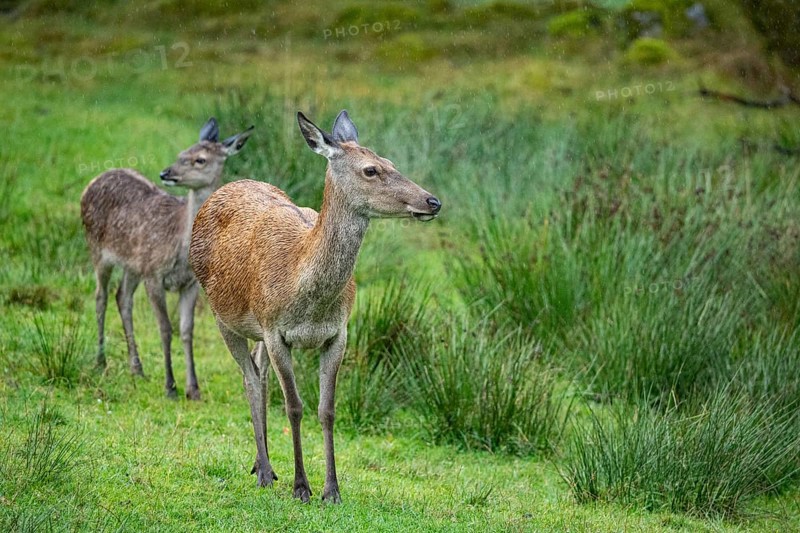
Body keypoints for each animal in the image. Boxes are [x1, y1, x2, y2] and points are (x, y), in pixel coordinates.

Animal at [81, 118, 254, 400]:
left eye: (200, 159)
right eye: (181, 153)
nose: (166, 174)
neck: (179, 251)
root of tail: (92, 182)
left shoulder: (190, 284)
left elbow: (186, 330)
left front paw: (193, 389)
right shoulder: (154, 274)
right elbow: (165, 328)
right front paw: (170, 386)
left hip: (133, 264)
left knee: (122, 298)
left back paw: (137, 368)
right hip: (97, 248)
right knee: (100, 297)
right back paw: (100, 360)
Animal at [189, 110, 441, 503]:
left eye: (390, 162)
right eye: (371, 170)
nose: (432, 202)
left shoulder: (338, 334)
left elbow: (327, 410)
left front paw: (332, 490)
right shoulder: (275, 330)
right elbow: (294, 407)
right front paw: (301, 487)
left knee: (260, 374)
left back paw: (262, 465)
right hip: (222, 316)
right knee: (250, 380)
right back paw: (264, 470)